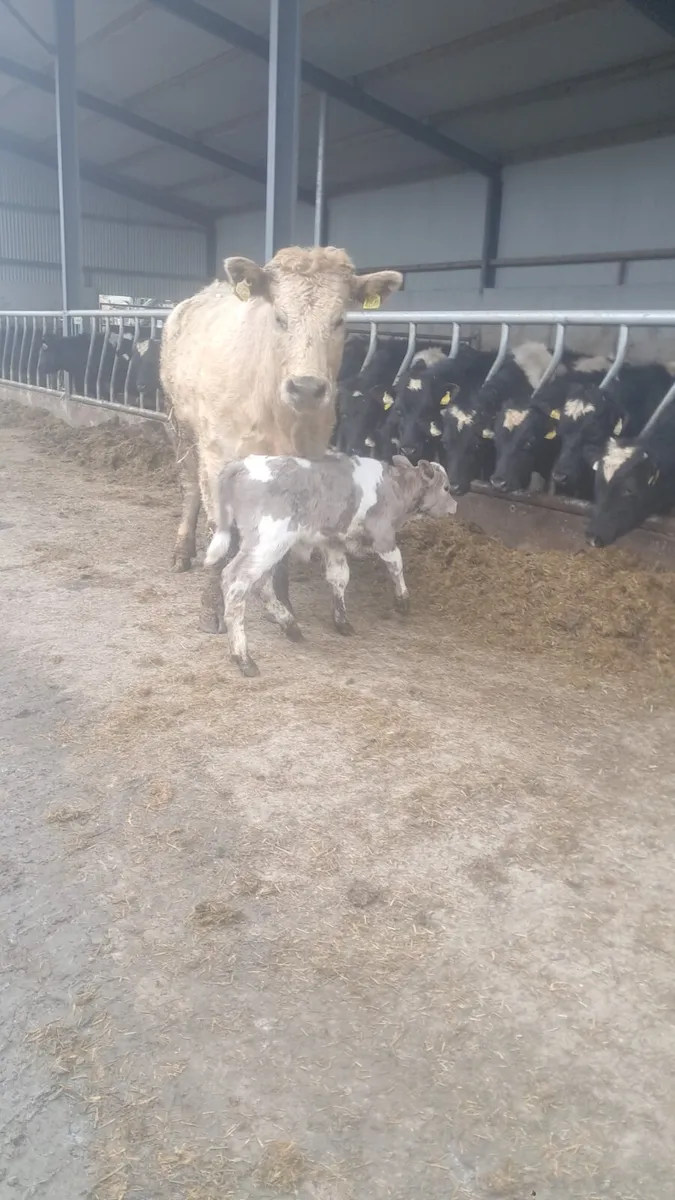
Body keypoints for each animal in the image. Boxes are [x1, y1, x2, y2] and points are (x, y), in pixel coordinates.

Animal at [159, 245, 402, 630]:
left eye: (339, 320)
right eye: (279, 317)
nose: (306, 388)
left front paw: (283, 604)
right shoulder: (216, 455)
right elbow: (218, 529)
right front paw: (211, 608)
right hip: (180, 426)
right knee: (190, 490)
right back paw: (182, 551)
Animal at [204, 452, 457, 676]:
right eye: (446, 488)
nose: (455, 507)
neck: (395, 487)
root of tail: (242, 464)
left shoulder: (333, 542)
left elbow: (339, 577)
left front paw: (341, 621)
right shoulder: (383, 535)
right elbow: (396, 563)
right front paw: (403, 601)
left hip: (268, 547)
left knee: (261, 584)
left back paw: (289, 626)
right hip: (267, 542)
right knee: (235, 581)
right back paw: (243, 658)